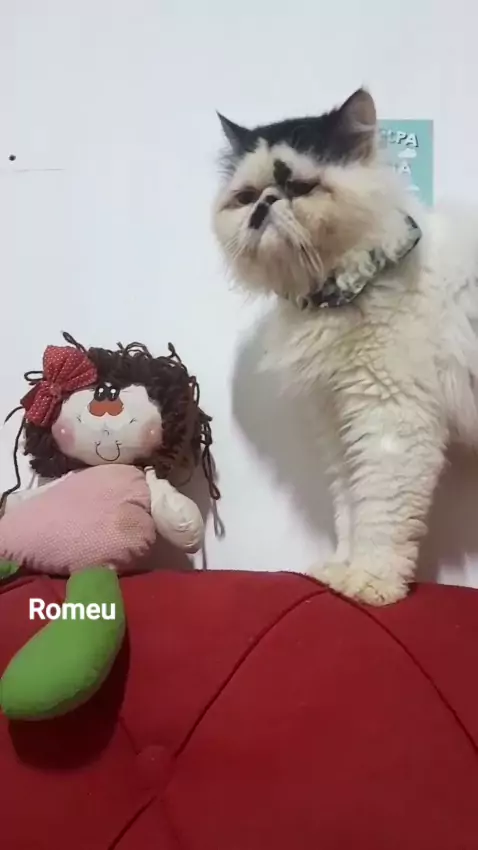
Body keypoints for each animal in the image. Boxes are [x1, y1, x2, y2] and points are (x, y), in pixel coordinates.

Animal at [212, 88, 478, 606]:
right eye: (246, 197)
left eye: (297, 187)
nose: (264, 205)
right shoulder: (340, 421)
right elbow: (349, 509)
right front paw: (339, 570)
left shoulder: (390, 421)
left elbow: (380, 513)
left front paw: (372, 583)